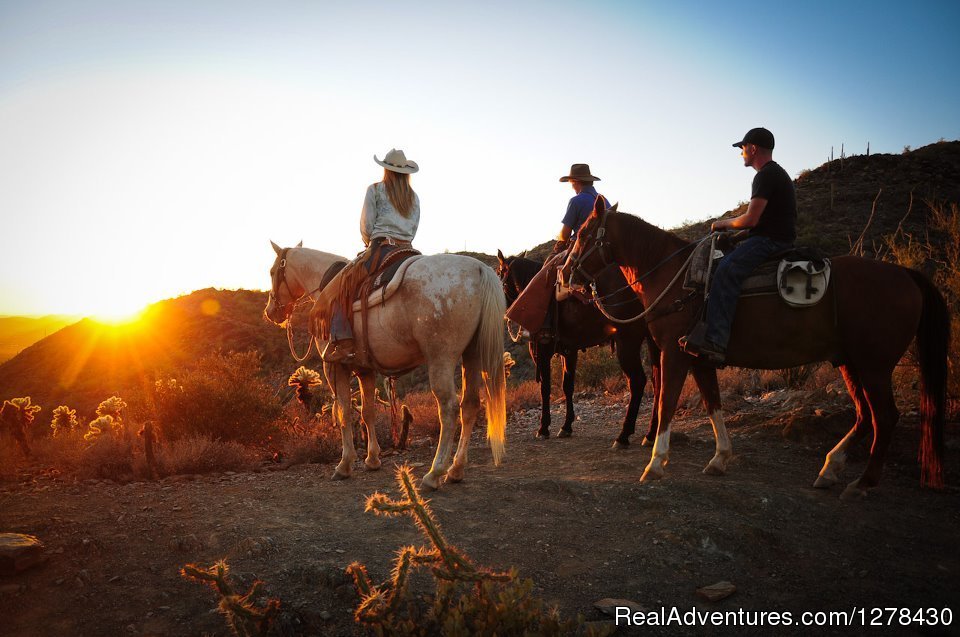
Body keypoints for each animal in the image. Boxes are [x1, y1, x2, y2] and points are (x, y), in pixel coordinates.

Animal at [266, 241, 506, 490]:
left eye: (272, 272)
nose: (271, 311)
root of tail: (479, 270)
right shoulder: (365, 370)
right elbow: (367, 412)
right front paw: (372, 459)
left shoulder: (334, 367)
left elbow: (343, 412)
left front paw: (345, 464)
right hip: (473, 356)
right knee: (470, 405)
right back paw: (456, 470)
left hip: (441, 359)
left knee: (449, 408)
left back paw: (434, 473)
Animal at [560, 195, 948, 496]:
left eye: (583, 234)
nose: (565, 274)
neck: (676, 276)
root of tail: (905, 274)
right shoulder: (699, 357)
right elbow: (713, 404)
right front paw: (720, 458)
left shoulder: (673, 352)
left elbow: (667, 402)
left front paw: (655, 464)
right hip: (850, 362)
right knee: (866, 416)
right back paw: (830, 470)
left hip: (874, 365)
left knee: (885, 417)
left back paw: (863, 483)